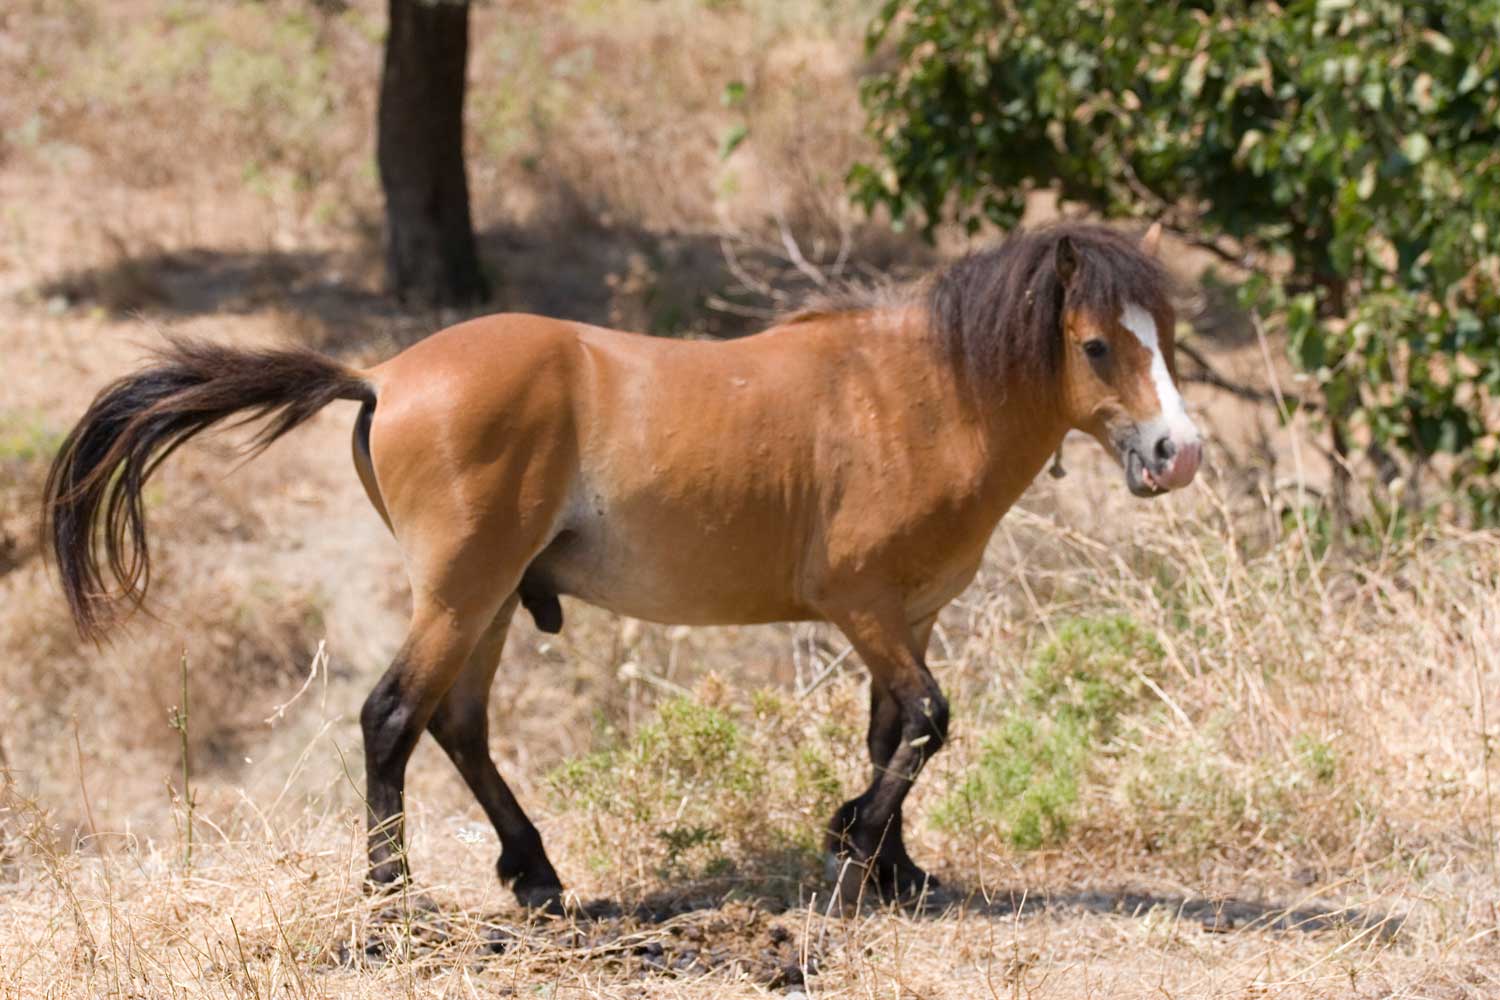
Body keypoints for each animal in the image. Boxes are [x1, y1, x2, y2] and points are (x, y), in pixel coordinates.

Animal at [41, 223, 1200, 911]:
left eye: (1170, 336)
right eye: (1098, 345)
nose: (1176, 453)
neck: (914, 397)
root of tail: (382, 375)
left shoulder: (906, 619)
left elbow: (893, 734)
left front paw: (897, 871)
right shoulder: (865, 610)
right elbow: (928, 722)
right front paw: (850, 852)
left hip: (488, 602)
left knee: (458, 725)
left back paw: (536, 876)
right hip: (460, 593)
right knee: (391, 718)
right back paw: (393, 901)